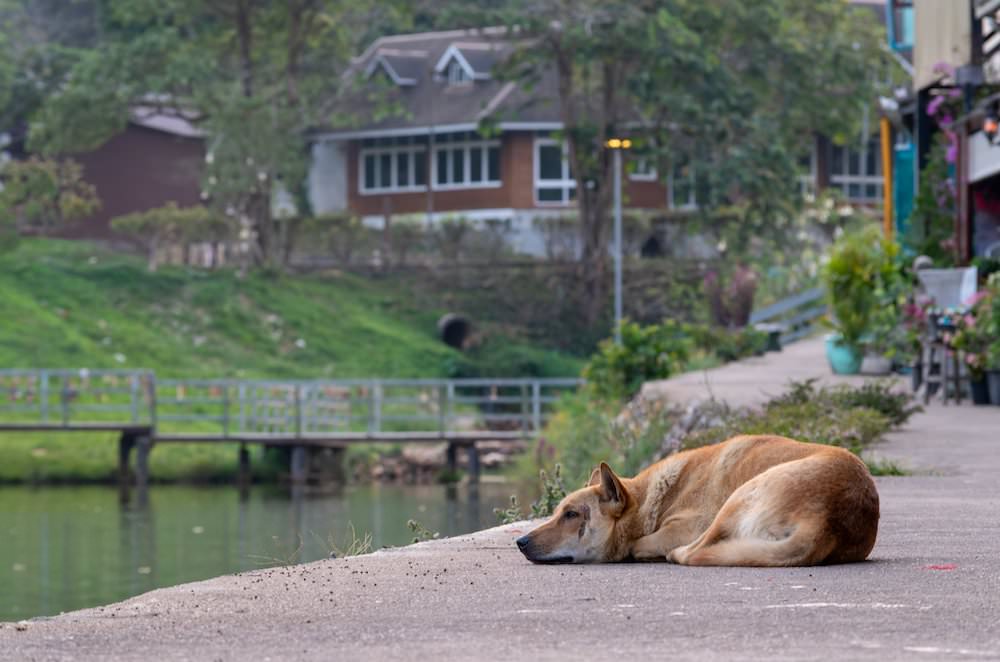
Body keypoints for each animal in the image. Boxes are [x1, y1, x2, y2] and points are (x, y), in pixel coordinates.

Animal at [520, 434, 880, 568]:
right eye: (557, 512)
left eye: (571, 514)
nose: (520, 542)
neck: (651, 500)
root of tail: (827, 521)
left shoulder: (685, 526)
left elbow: (638, 543)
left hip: (737, 497)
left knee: (695, 552)